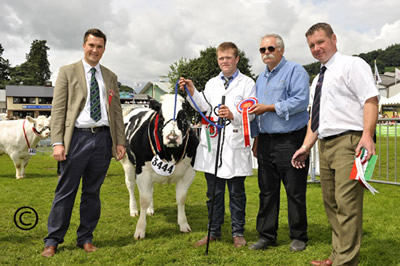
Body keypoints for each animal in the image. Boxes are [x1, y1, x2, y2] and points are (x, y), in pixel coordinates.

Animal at [119, 94, 199, 240]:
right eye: (161, 117)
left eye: (183, 115)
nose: (172, 137)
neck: (170, 154)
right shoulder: (142, 172)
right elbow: (144, 200)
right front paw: (140, 230)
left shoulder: (189, 172)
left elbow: (181, 198)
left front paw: (183, 224)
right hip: (127, 163)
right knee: (130, 186)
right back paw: (133, 210)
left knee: (150, 190)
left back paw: (150, 210)